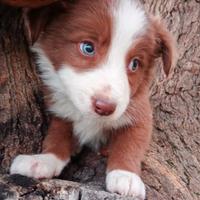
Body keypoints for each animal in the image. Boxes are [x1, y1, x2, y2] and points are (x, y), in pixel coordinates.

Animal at [9, 0, 175, 198]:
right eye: (88, 48)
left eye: (135, 64)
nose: (105, 107)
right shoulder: (61, 109)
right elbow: (57, 136)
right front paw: (42, 160)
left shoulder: (139, 109)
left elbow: (131, 141)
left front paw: (125, 175)